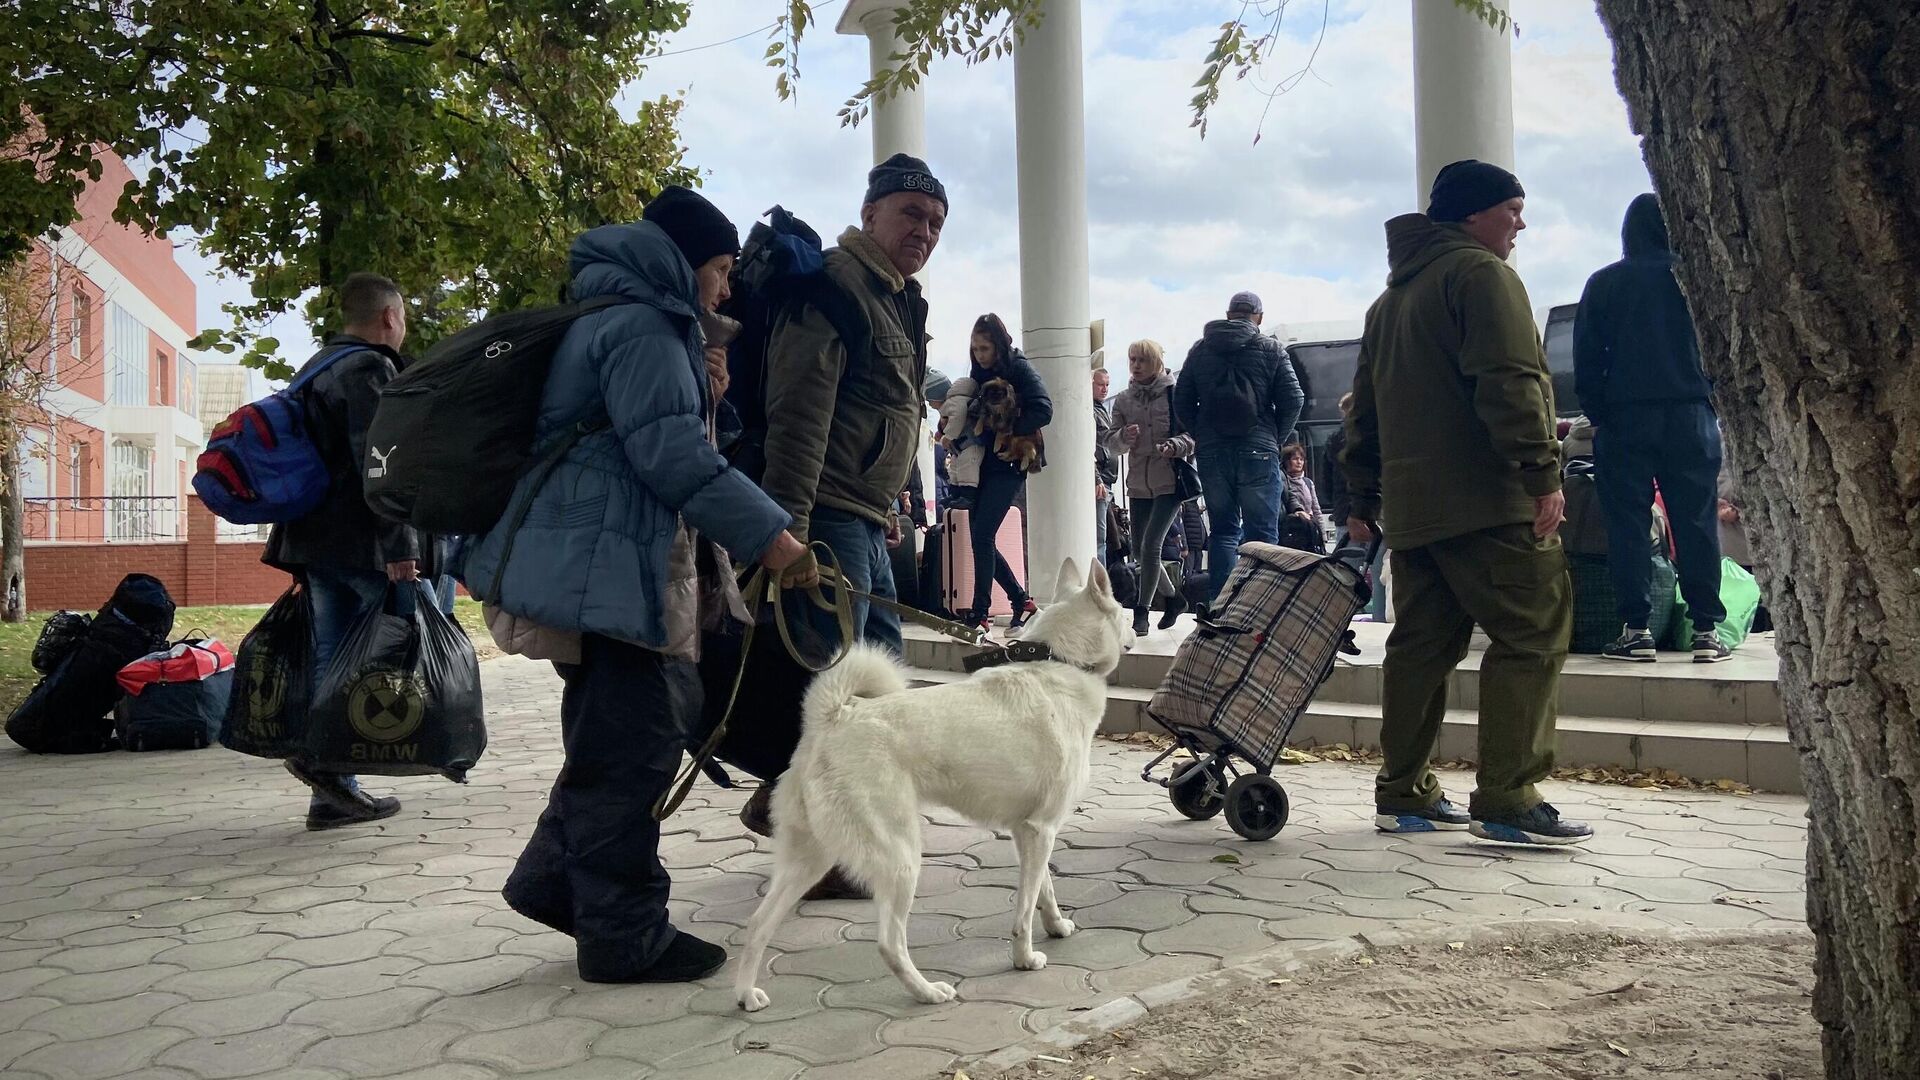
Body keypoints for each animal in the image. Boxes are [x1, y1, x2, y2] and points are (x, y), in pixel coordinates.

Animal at [729, 553, 1121, 1006]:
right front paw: (1024, 958)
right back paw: (928, 992)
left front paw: (1056, 927)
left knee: (758, 924)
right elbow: (1024, 909)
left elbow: (1043, 888)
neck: (1057, 661)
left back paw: (747, 995)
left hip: (810, 857)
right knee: (889, 942)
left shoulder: (1030, 832)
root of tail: (833, 719)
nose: (1135, 626)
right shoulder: (1041, 829)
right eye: (1125, 609)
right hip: (899, 858)